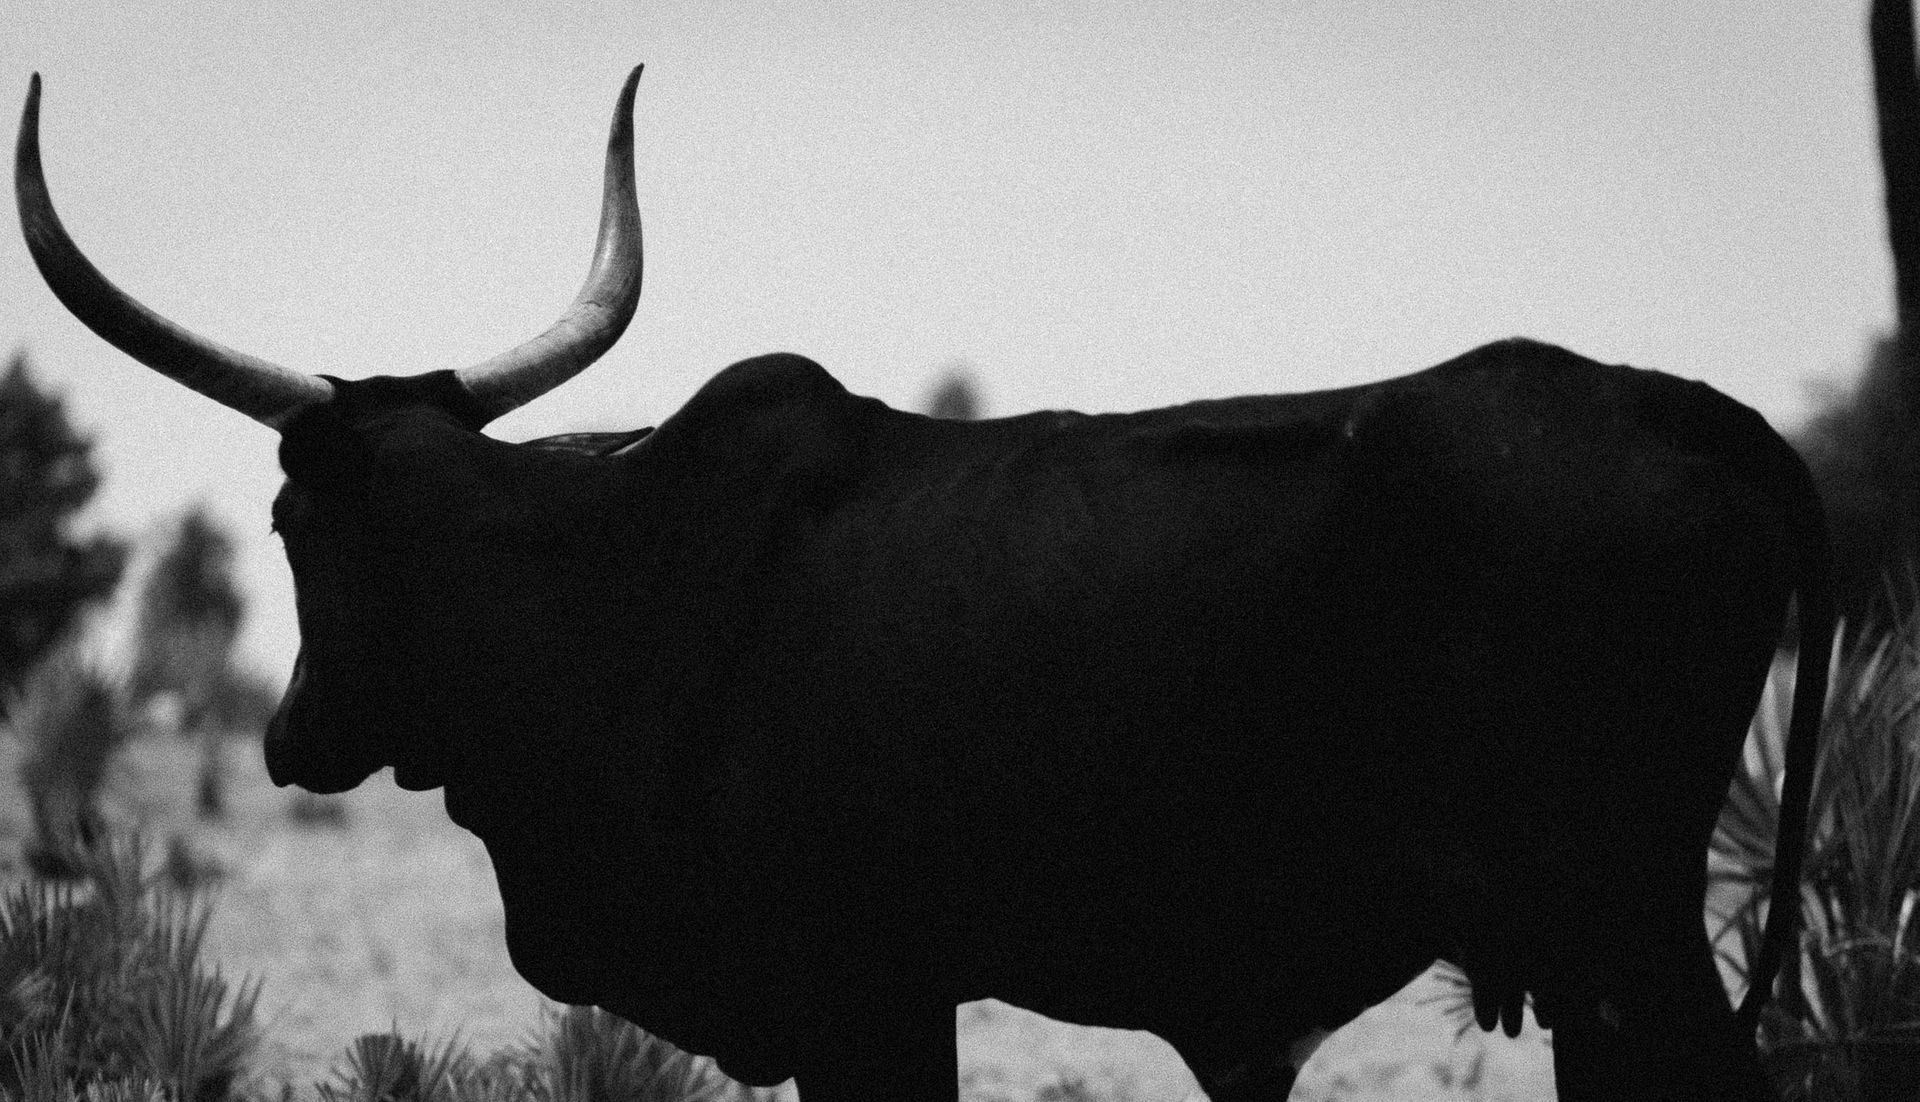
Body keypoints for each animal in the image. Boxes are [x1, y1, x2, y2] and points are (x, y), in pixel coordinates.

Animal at [17, 68, 1831, 1101]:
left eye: (287, 522)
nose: (291, 735)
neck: (613, 589)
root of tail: (1692, 407)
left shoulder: (858, 994)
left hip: (1620, 942)